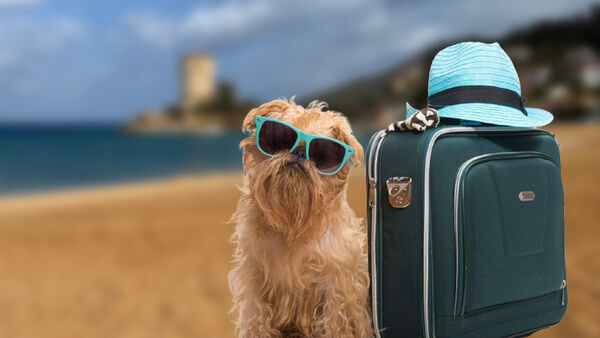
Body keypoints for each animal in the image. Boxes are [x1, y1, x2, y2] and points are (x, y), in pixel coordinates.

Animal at [229, 98, 372, 338]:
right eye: (279, 140)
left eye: (322, 156)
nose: (298, 152)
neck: (293, 223)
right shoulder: (255, 279)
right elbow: (258, 319)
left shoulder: (337, 285)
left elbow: (334, 322)